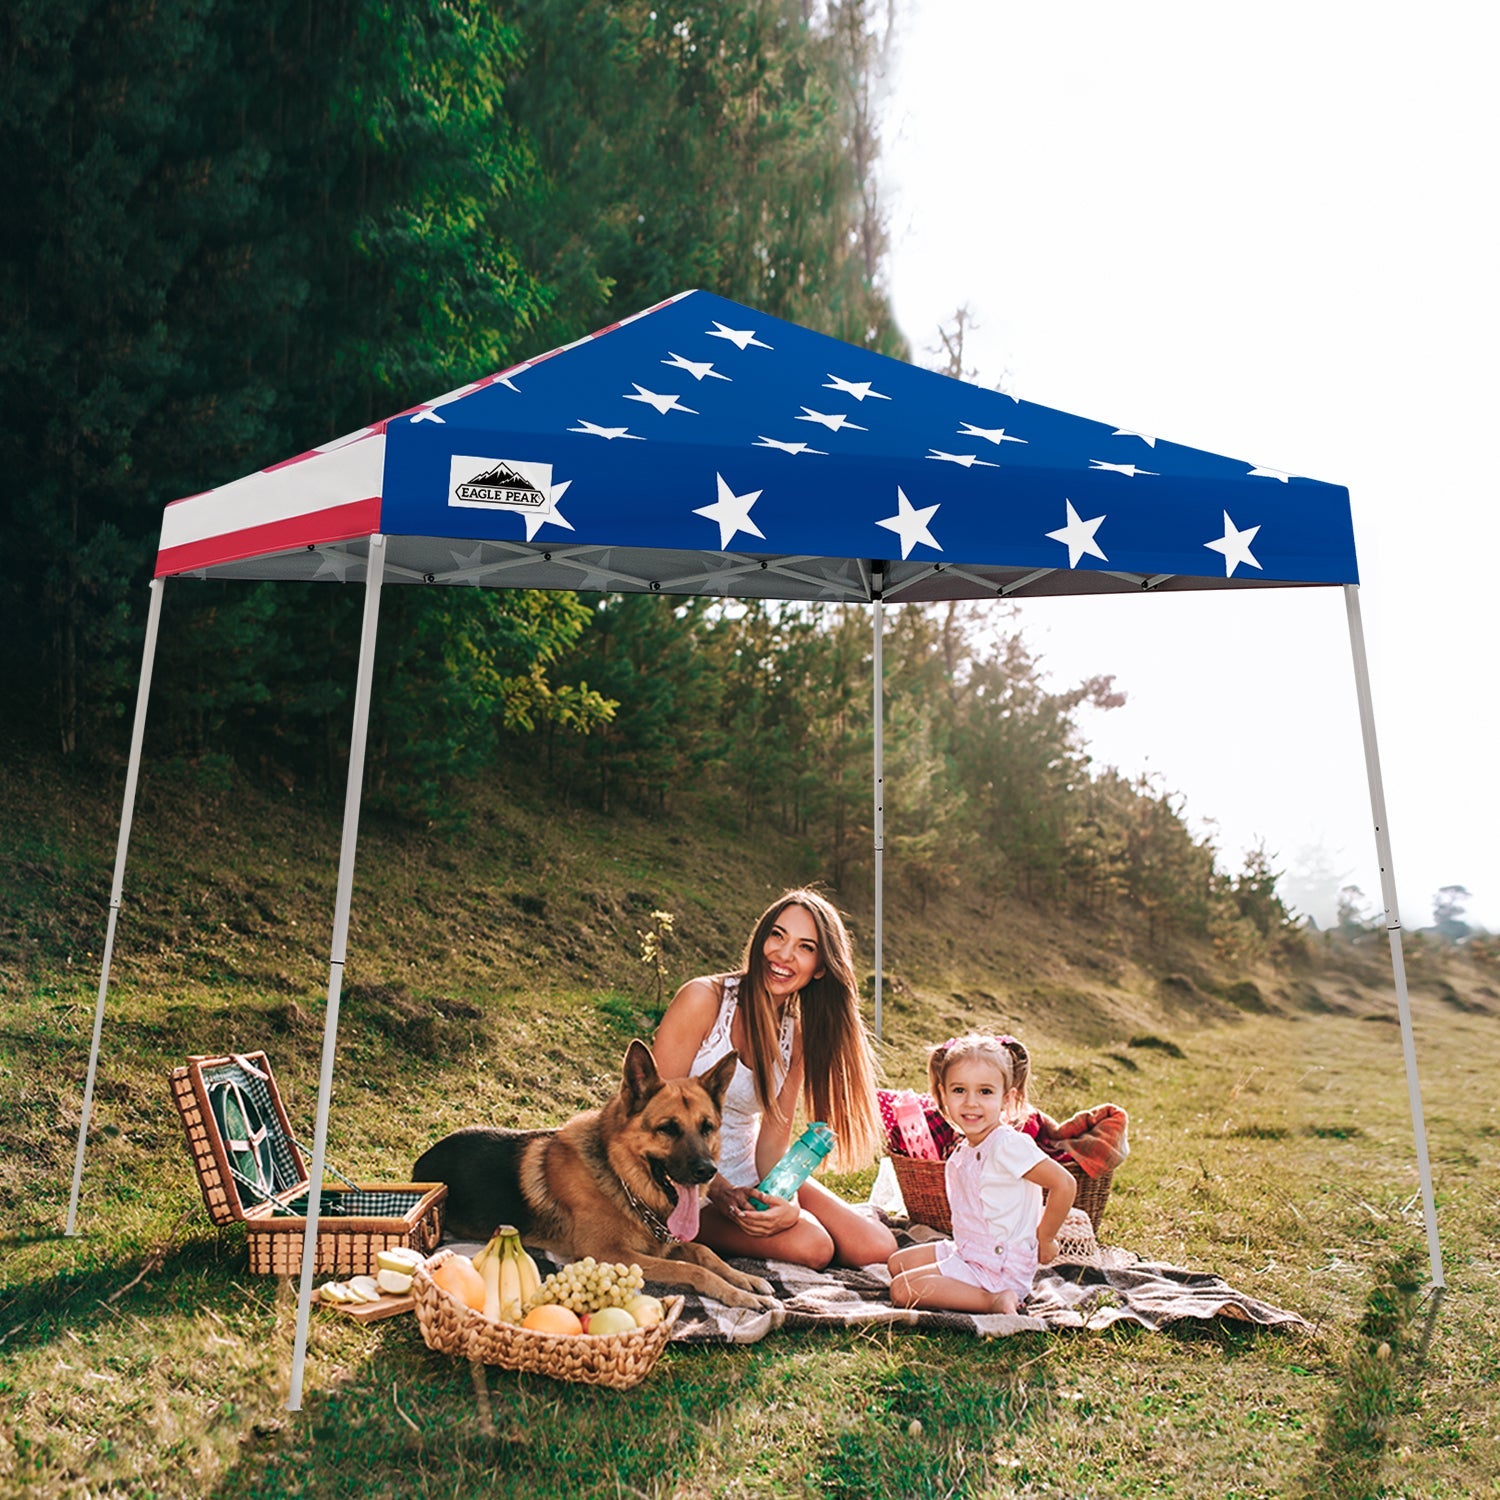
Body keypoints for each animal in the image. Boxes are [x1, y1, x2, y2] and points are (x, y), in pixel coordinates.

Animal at [414, 1044, 780, 1314]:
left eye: (707, 1127)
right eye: (668, 1128)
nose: (708, 1171)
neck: (620, 1178)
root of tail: (423, 1159)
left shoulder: (662, 1243)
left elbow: (704, 1252)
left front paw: (745, 1280)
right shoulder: (610, 1253)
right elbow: (691, 1268)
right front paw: (739, 1295)